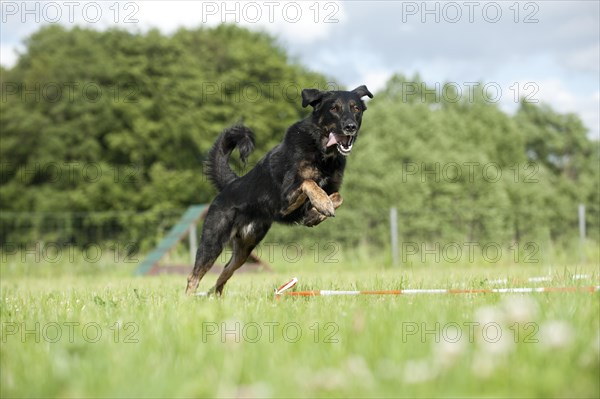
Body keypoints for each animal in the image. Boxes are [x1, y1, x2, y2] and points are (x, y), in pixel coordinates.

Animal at [188, 85, 372, 296]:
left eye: (355, 108)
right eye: (334, 108)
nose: (350, 126)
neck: (322, 151)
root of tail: (231, 184)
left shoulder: (330, 189)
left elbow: (338, 196)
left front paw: (315, 214)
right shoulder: (286, 199)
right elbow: (309, 182)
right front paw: (322, 203)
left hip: (244, 249)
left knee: (225, 272)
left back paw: (215, 297)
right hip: (213, 241)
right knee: (194, 277)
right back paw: (189, 299)